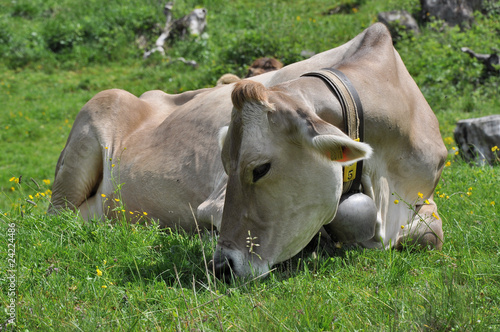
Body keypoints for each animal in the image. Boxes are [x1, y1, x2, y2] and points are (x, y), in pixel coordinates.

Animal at [49, 24, 450, 280]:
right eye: (226, 166)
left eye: (260, 169)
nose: (221, 267)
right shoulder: (212, 205)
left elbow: (433, 234)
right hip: (90, 127)